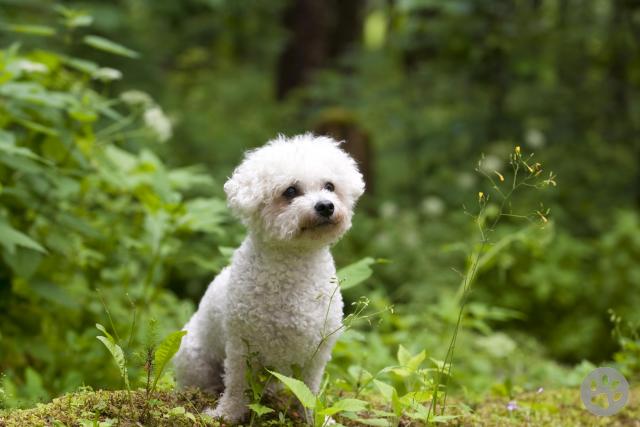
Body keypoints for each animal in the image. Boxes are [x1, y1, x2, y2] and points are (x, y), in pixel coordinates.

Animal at [175, 134, 364, 422]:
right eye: (290, 191)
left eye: (330, 186)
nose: (326, 206)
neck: (293, 265)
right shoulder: (241, 347)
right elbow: (236, 384)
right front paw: (226, 414)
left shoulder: (316, 354)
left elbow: (309, 391)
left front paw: (317, 418)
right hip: (195, 358)